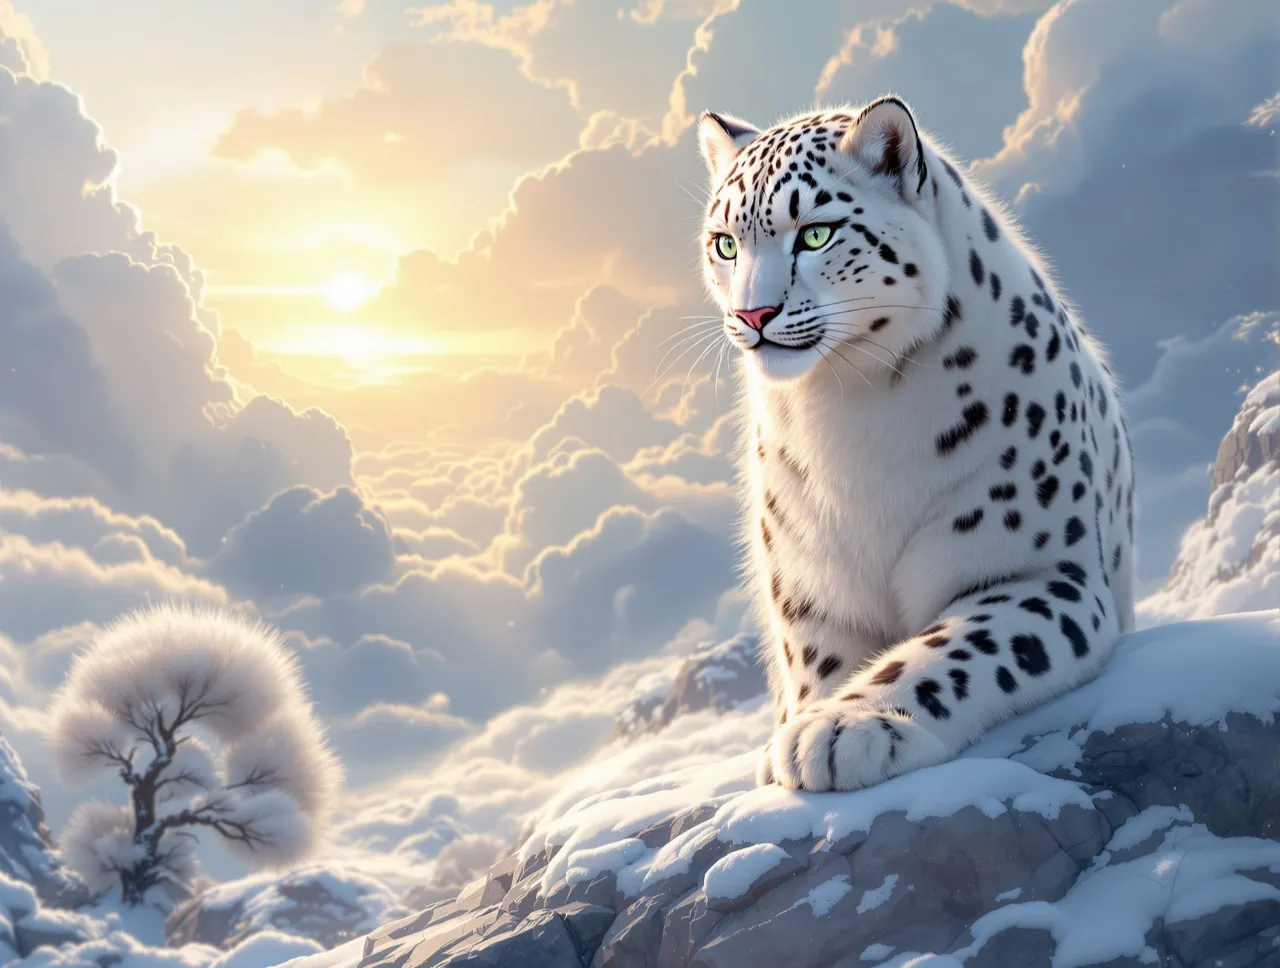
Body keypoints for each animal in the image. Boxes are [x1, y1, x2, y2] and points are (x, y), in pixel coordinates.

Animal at [695, 96, 1137, 791]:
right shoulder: (815, 597)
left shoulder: (1035, 570)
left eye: (815, 233)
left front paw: (834, 732)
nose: (751, 316)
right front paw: (806, 731)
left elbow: (951, 648)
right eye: (725, 244)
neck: (848, 409)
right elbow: (819, 669)